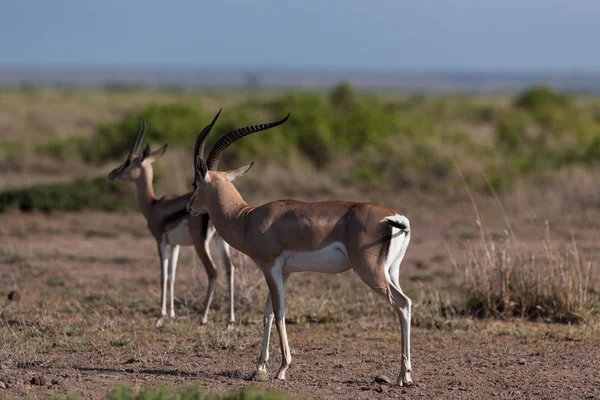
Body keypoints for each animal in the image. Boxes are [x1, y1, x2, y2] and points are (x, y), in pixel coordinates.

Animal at [109, 118, 236, 328]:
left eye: (128, 162)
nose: (112, 174)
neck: (154, 204)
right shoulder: (175, 245)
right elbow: (172, 276)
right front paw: (171, 313)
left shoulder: (160, 240)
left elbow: (163, 276)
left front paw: (161, 315)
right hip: (220, 240)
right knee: (230, 268)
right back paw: (230, 320)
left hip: (201, 244)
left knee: (213, 271)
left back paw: (203, 318)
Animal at [186, 111, 412, 386]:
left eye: (195, 183)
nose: (189, 207)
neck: (247, 219)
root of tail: (394, 217)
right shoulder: (284, 272)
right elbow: (268, 312)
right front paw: (259, 368)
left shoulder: (270, 267)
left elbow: (280, 311)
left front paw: (282, 368)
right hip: (392, 272)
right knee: (406, 304)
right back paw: (407, 375)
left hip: (371, 272)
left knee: (402, 303)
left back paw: (402, 376)